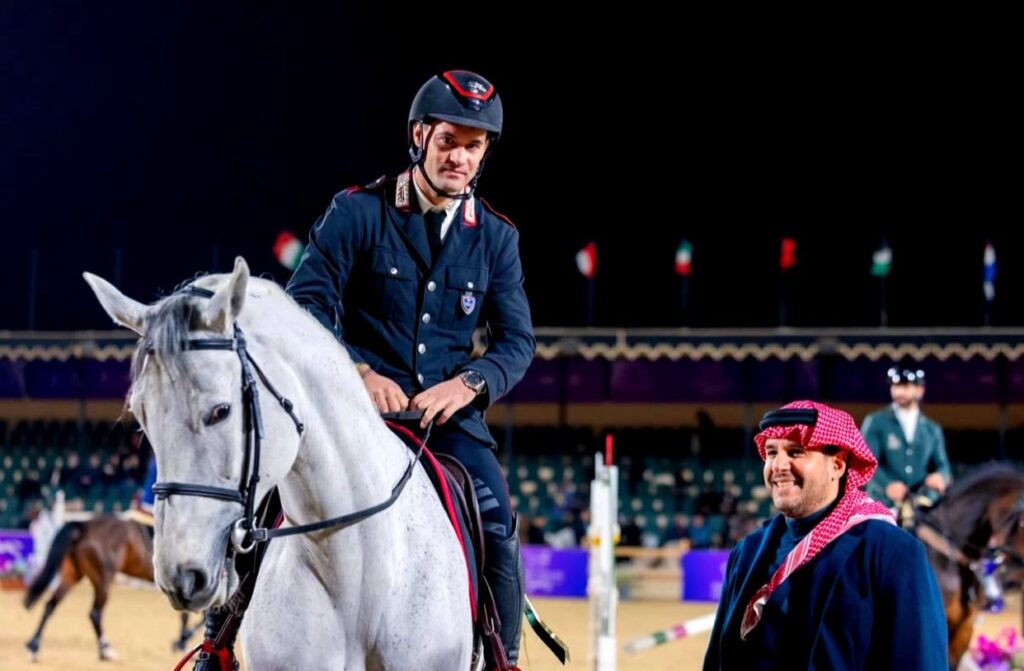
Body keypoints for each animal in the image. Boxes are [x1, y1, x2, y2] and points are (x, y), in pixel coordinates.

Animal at [23, 514, 201, 661]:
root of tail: (85, 525)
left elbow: (188, 616)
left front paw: (182, 642)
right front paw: (182, 642)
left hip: (72, 575)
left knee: (51, 605)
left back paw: (34, 646)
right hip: (103, 580)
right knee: (95, 613)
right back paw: (106, 650)